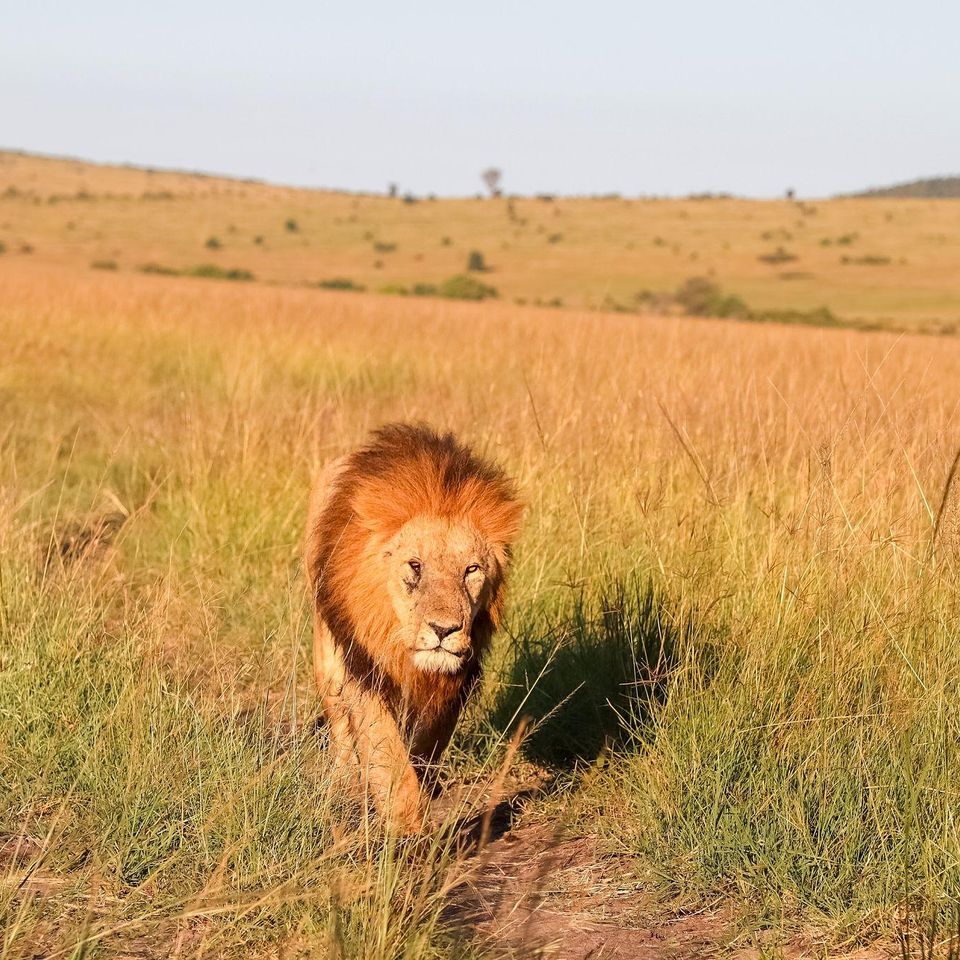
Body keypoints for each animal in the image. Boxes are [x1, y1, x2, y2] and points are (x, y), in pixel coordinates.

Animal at [304, 423, 522, 832]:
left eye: (471, 570)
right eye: (415, 566)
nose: (444, 630)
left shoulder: (457, 678)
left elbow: (427, 744)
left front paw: (425, 788)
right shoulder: (363, 667)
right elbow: (387, 751)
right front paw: (407, 829)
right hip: (327, 656)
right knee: (339, 722)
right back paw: (345, 785)